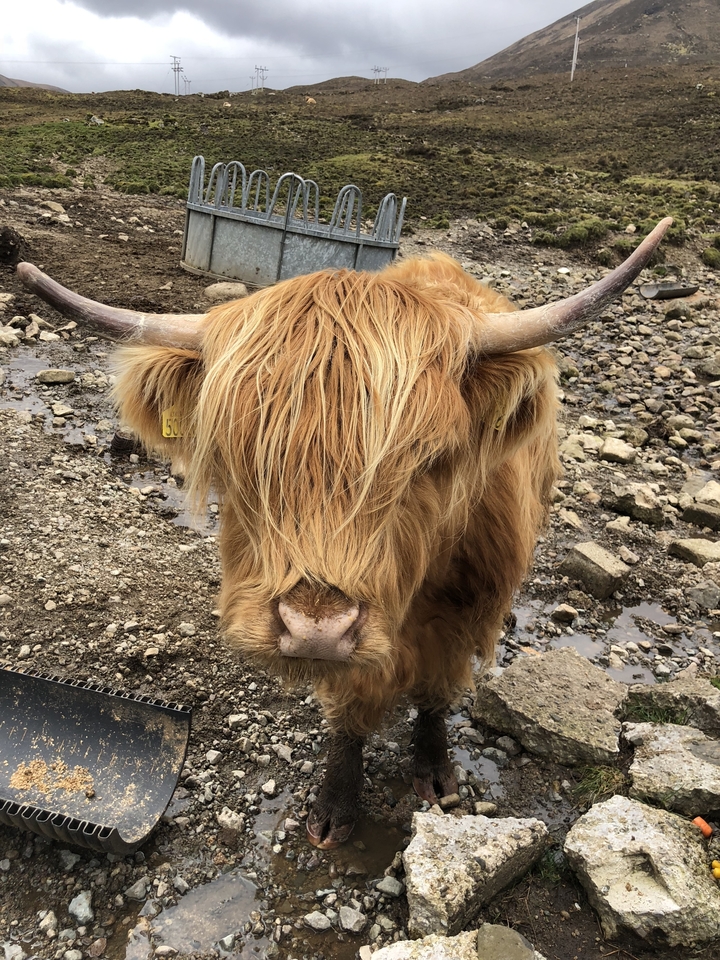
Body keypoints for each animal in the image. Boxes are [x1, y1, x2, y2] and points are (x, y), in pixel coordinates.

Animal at [17, 218, 671, 848]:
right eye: (232, 454)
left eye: (430, 460)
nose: (316, 630)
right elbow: (353, 707)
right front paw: (335, 805)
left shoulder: (469, 610)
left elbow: (436, 691)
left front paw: (434, 772)